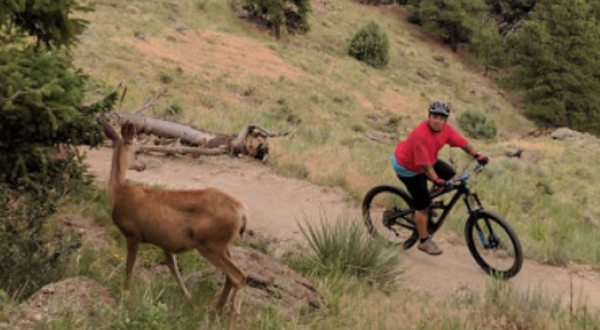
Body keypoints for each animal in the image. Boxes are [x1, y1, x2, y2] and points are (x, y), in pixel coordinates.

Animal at [97, 118, 247, 324]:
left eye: (138, 150)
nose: (143, 166)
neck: (118, 193)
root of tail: (241, 212)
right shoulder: (165, 242)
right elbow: (173, 268)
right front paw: (188, 297)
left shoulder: (133, 234)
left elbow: (130, 267)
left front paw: (124, 295)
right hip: (224, 246)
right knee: (232, 277)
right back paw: (215, 311)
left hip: (211, 245)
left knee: (239, 276)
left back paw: (230, 319)